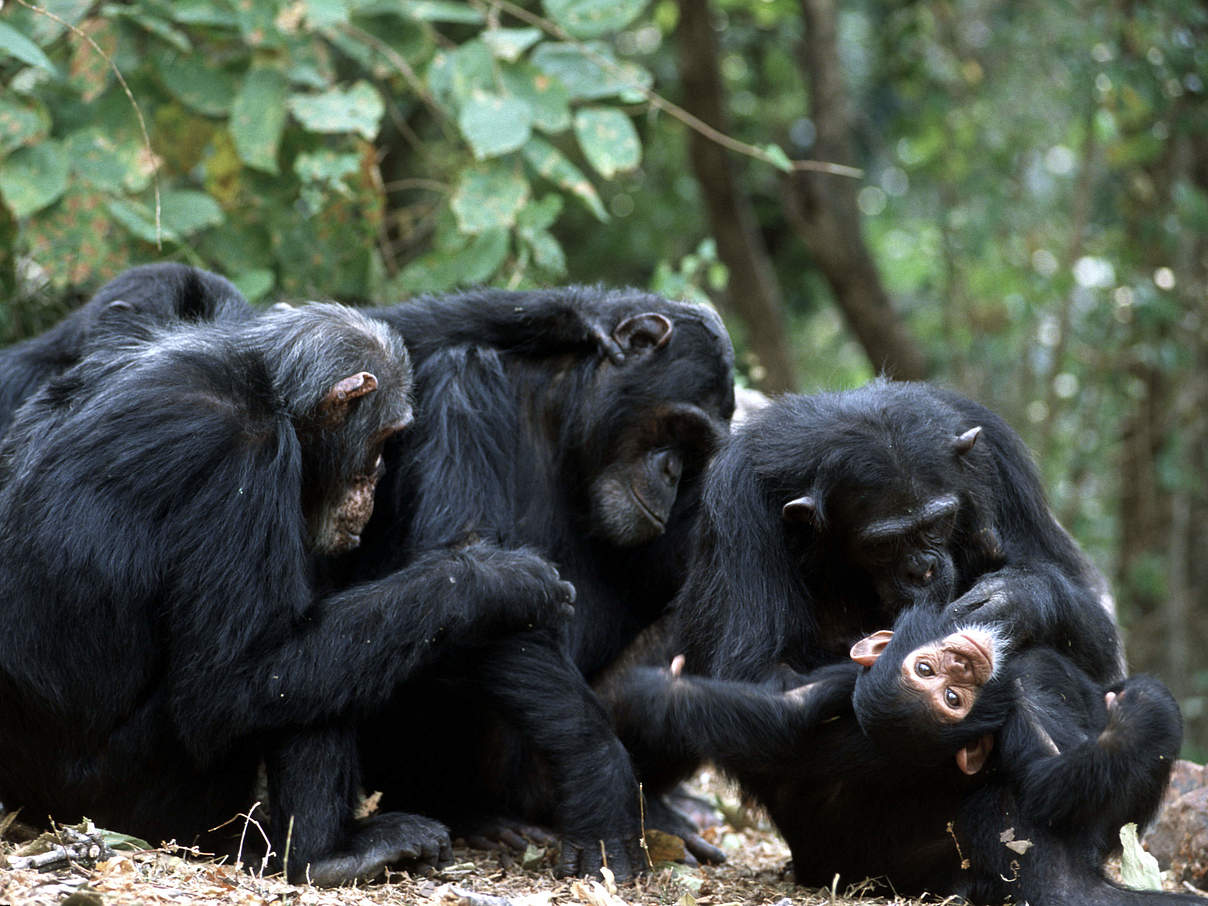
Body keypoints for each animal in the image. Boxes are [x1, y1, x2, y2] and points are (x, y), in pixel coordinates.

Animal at [0, 302, 579, 884]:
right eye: (385, 436)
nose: (378, 476)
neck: (266, 388)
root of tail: (35, 811)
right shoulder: (248, 459)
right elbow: (239, 676)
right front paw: (502, 581)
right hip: (136, 801)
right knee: (305, 678)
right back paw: (329, 857)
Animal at [340, 285, 734, 879]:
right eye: (682, 429)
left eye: (697, 452)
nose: (672, 473)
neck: (561, 422)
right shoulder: (462, 384)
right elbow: (476, 563)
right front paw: (599, 777)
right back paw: (473, 814)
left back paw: (663, 818)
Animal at [608, 604, 1193, 906]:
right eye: (948, 694)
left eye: (937, 675)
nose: (962, 663)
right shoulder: (1013, 706)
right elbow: (1055, 781)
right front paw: (1144, 709)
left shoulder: (841, 683)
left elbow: (777, 712)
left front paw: (652, 691)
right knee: (1058, 882)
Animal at [671, 376, 1121, 686]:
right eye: (883, 545)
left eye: (937, 524)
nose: (922, 568)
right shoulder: (737, 506)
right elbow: (763, 672)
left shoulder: (1002, 457)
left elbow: (1097, 630)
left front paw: (1014, 599)